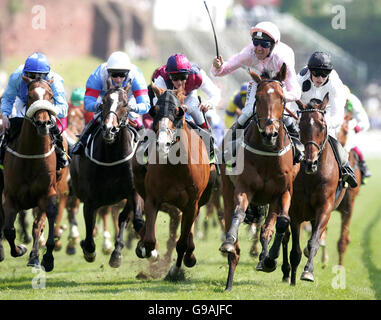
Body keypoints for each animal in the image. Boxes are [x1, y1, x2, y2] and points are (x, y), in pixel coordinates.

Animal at [0, 76, 59, 272]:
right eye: (31, 96)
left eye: (50, 95)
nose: (43, 123)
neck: (31, 155)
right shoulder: (9, 196)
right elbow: (8, 230)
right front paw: (19, 249)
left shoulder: (47, 193)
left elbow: (43, 223)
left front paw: (46, 258)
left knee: (37, 225)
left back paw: (35, 257)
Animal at [69, 80, 143, 268]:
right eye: (103, 102)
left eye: (125, 104)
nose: (110, 129)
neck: (112, 156)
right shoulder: (90, 199)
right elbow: (89, 233)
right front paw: (88, 250)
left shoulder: (134, 191)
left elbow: (137, 220)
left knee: (123, 217)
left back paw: (117, 252)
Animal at [132, 84, 212, 280]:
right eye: (154, 111)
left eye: (179, 112)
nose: (163, 144)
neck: (175, 167)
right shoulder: (152, 198)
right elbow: (150, 240)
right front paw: (148, 250)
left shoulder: (192, 204)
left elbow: (182, 243)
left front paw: (175, 270)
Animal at [218, 63, 298, 292]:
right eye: (258, 98)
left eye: (282, 98)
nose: (269, 134)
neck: (268, 155)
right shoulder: (244, 187)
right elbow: (238, 214)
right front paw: (229, 243)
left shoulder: (284, 191)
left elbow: (282, 222)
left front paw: (270, 258)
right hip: (227, 188)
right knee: (232, 219)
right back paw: (229, 279)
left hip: (271, 199)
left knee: (268, 228)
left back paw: (265, 258)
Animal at [280, 94, 348, 284]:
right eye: (301, 125)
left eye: (322, 125)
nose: (311, 163)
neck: (312, 176)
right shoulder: (295, 210)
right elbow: (294, 248)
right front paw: (293, 278)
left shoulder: (325, 207)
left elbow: (313, 241)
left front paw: (308, 272)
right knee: (285, 237)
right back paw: (285, 271)